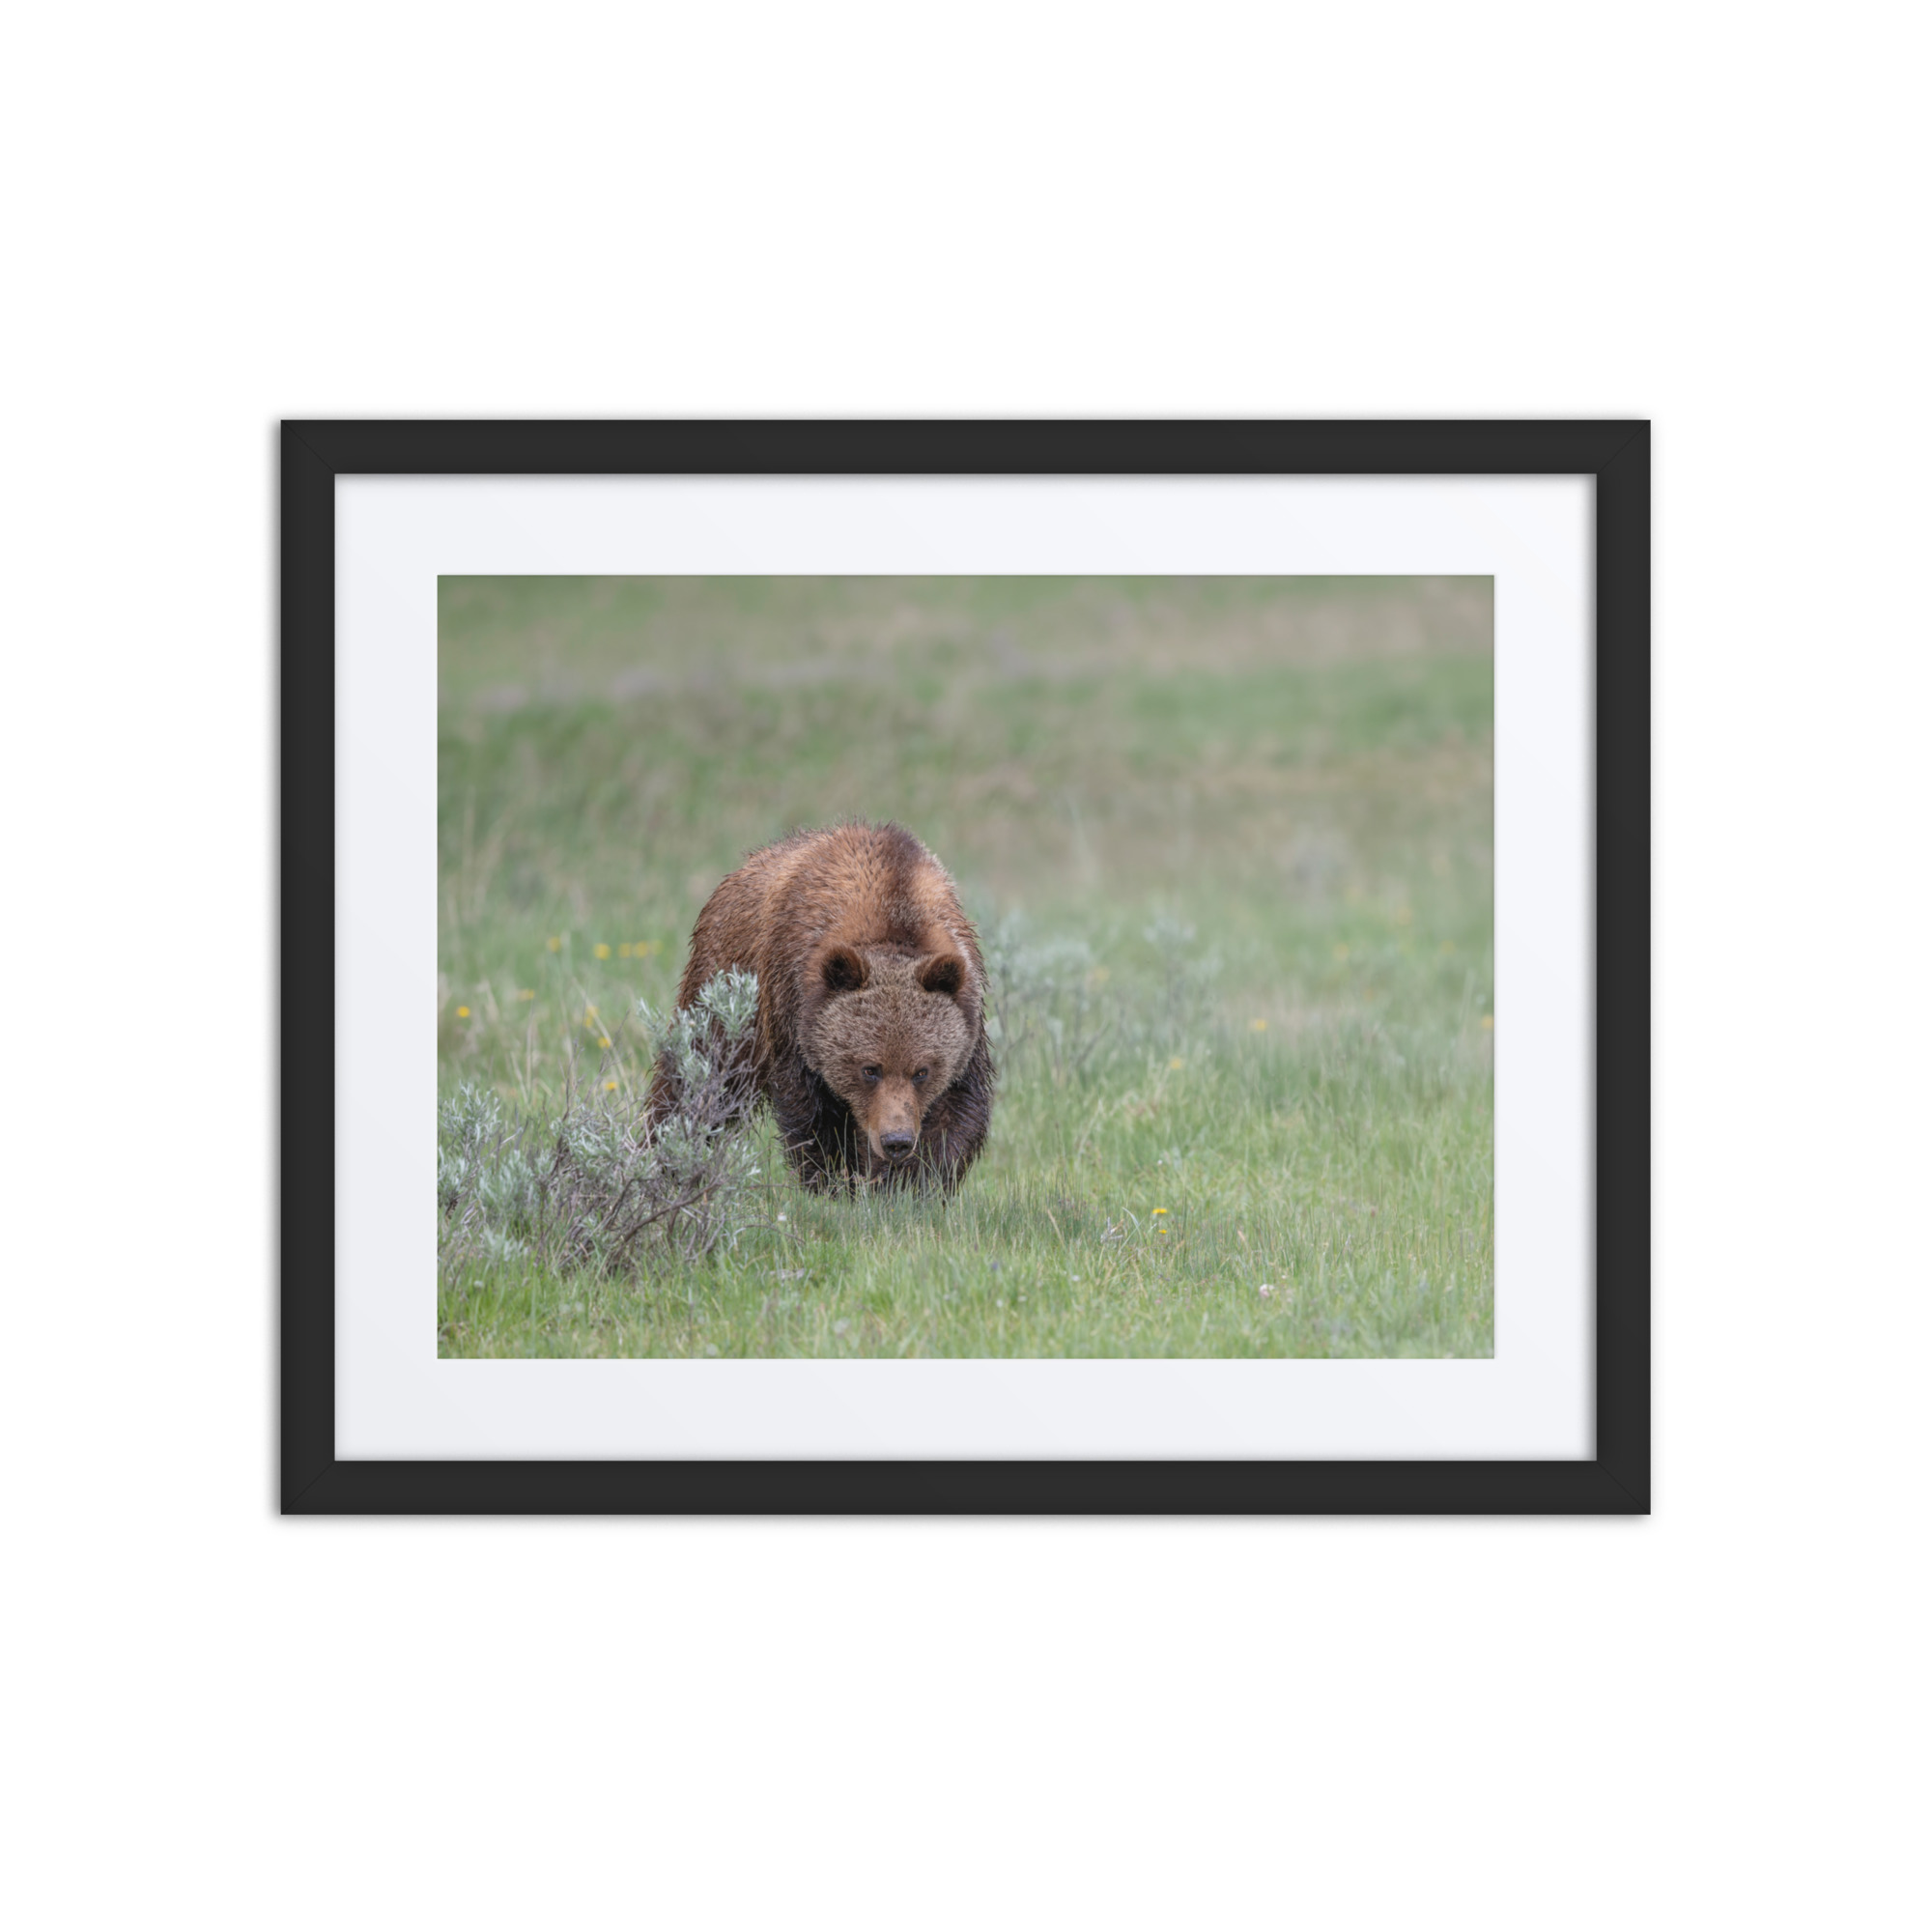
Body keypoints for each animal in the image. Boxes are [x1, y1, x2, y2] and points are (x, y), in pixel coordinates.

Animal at [655, 822, 995, 1192]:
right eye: (869, 1069)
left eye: (922, 1071)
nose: (896, 1141)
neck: (893, 910)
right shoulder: (793, 1007)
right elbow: (813, 1115)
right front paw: (834, 1182)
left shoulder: (967, 1019)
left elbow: (955, 1112)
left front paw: (908, 1185)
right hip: (725, 989)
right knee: (697, 1076)